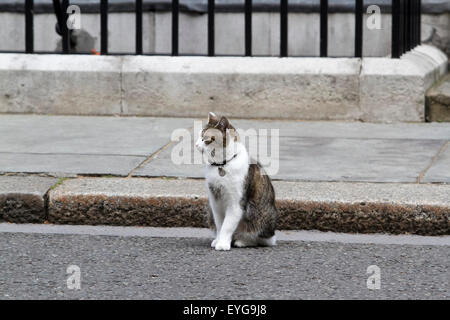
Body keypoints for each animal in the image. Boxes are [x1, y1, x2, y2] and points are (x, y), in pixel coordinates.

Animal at [194, 112, 278, 250]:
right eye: (199, 136)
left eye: (205, 139)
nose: (196, 144)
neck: (222, 165)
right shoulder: (215, 202)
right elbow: (219, 225)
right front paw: (219, 240)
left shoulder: (236, 204)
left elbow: (227, 226)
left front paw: (222, 244)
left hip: (258, 216)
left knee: (261, 238)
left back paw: (242, 241)